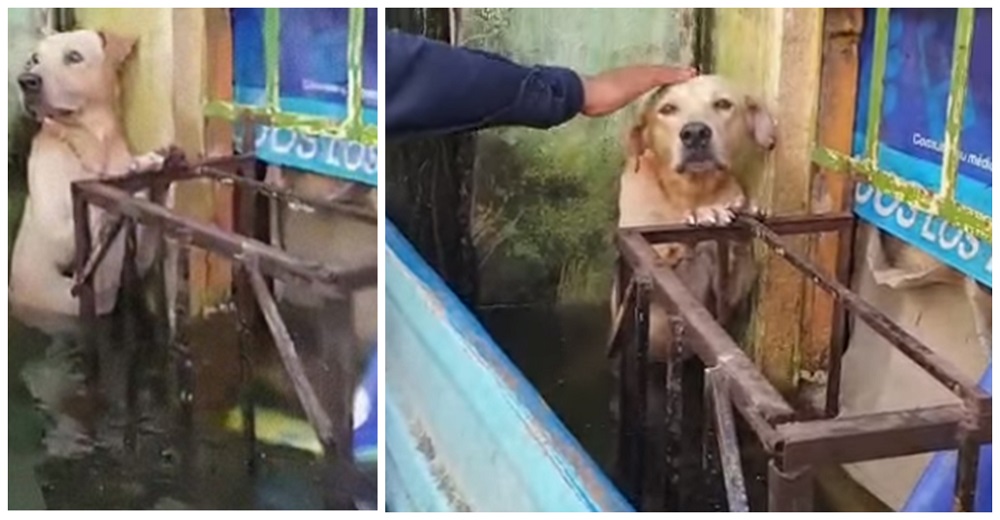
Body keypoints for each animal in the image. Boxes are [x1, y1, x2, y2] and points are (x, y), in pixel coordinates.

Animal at [11, 29, 178, 324]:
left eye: (74, 57)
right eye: (34, 59)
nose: (26, 80)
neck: (92, 145)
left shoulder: (139, 256)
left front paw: (155, 167)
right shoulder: (61, 233)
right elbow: (91, 209)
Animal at [608, 75, 780, 362]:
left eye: (723, 104)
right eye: (667, 109)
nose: (695, 133)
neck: (692, 193)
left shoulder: (726, 297)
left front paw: (742, 210)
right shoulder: (639, 276)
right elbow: (666, 248)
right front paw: (705, 214)